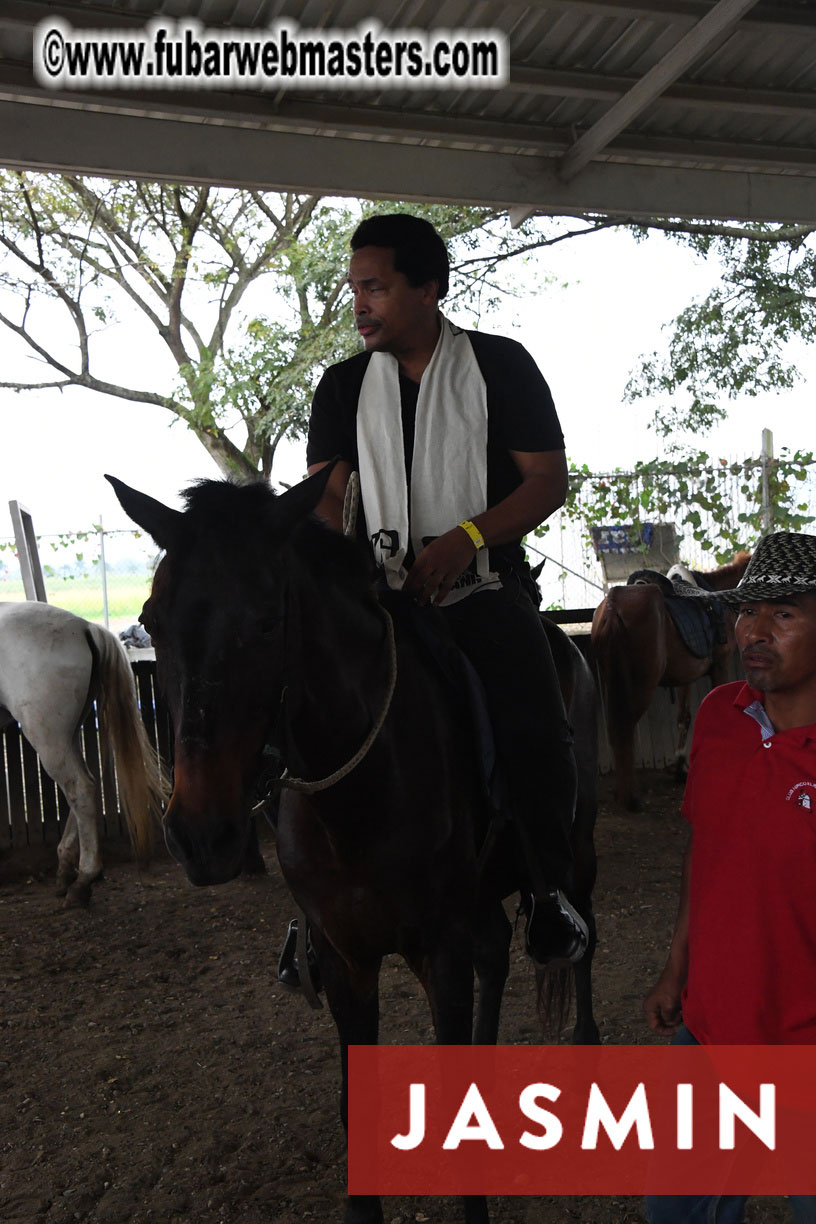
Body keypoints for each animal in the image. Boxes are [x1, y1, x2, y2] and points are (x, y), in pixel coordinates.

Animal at [0, 599, 166, 900]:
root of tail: (84, 626)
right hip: (65, 736)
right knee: (81, 787)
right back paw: (67, 869)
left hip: (48, 738)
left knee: (81, 788)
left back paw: (84, 878)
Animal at [110, 465, 599, 1224]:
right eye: (154, 620)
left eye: (266, 621)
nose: (200, 834)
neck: (361, 788)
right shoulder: (343, 959)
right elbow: (353, 1107)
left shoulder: (441, 949)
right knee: (499, 950)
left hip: (574, 852)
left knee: (581, 935)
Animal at [589, 555, 748, 812]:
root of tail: (613, 605)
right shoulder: (720, 665)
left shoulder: (685, 677)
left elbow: (684, 717)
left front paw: (681, 768)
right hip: (641, 684)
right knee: (625, 727)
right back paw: (629, 797)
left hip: (612, 681)